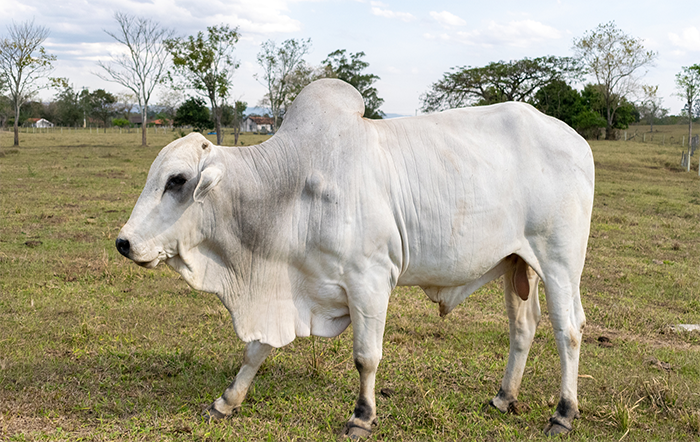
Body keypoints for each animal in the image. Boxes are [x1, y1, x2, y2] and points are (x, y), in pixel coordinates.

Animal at [116, 78, 594, 438]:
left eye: (177, 181)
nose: (124, 242)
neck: (289, 189)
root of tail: (575, 139)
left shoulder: (370, 280)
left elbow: (366, 356)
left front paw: (362, 417)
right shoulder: (289, 285)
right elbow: (255, 350)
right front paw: (226, 401)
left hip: (560, 262)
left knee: (568, 329)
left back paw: (563, 412)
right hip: (518, 263)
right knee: (523, 327)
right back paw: (504, 397)